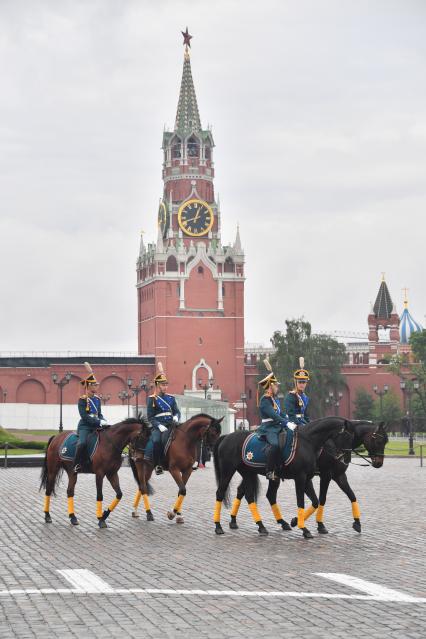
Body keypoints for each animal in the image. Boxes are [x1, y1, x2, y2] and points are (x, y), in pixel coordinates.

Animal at [213, 418, 352, 536]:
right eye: (347, 436)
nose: (345, 459)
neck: (307, 441)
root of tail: (226, 436)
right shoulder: (301, 477)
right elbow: (301, 501)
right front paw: (304, 528)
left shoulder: (308, 478)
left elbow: (315, 501)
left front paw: (297, 522)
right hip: (228, 471)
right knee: (221, 492)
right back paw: (218, 526)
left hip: (248, 473)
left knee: (250, 495)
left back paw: (262, 526)